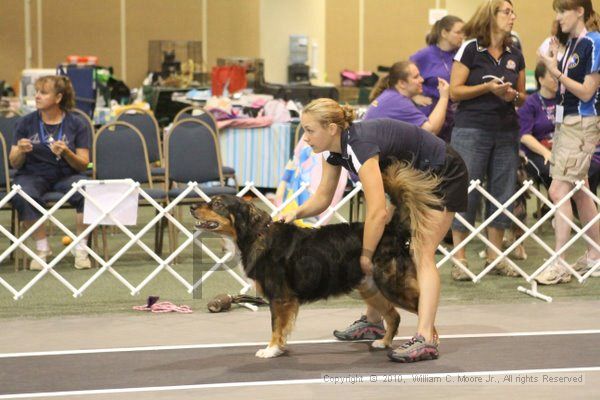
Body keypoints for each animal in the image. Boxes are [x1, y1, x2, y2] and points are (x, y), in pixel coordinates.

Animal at [191, 162, 440, 360]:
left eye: (217, 204)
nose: (192, 206)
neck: (256, 235)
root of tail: (391, 231)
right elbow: (281, 327)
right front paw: (279, 348)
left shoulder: (280, 297)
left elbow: (276, 326)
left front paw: (270, 349)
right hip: (370, 287)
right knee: (394, 315)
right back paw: (384, 342)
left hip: (392, 285)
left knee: (424, 308)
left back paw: (429, 344)